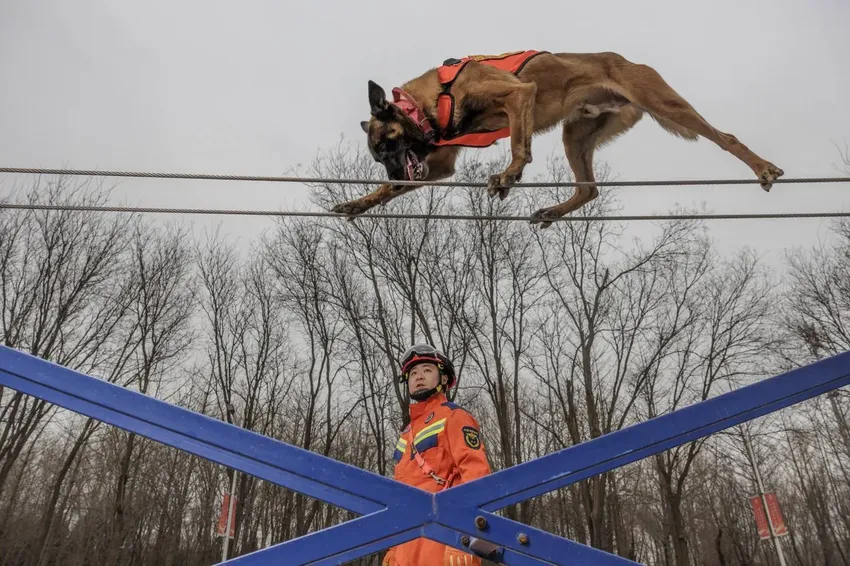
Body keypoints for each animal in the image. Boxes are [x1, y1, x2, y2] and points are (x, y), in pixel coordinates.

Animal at [332, 48, 780, 226]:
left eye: (387, 146)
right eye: (378, 158)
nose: (396, 174)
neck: (425, 103)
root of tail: (626, 60)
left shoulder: (518, 95)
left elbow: (519, 144)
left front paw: (509, 174)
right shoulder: (439, 165)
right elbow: (387, 191)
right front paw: (359, 202)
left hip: (666, 104)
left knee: (725, 137)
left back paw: (762, 167)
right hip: (575, 136)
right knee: (589, 190)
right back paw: (554, 211)